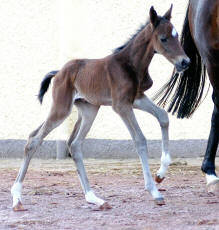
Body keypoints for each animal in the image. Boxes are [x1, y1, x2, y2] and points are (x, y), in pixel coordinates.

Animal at [10, 5, 190, 211]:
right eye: (163, 38)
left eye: (177, 35)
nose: (185, 62)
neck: (130, 64)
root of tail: (58, 72)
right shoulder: (121, 106)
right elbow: (140, 140)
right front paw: (154, 191)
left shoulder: (136, 99)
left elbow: (163, 116)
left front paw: (161, 174)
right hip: (62, 108)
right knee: (35, 140)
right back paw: (17, 198)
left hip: (88, 110)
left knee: (73, 144)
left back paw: (94, 198)